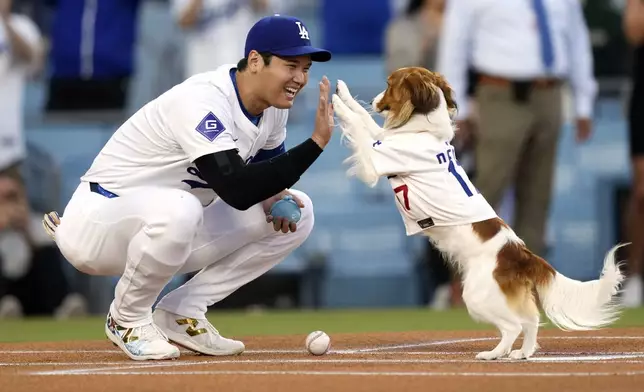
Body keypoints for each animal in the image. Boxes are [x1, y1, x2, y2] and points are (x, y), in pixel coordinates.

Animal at [334, 66, 628, 358]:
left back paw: (494, 353)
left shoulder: (374, 164)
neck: (423, 131)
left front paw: (337, 104)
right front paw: (344, 94)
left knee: (513, 326)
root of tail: (522, 254)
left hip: (476, 296)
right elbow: (365, 120)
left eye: (389, 84)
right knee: (531, 320)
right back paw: (523, 353)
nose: (374, 100)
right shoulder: (382, 141)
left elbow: (358, 126)